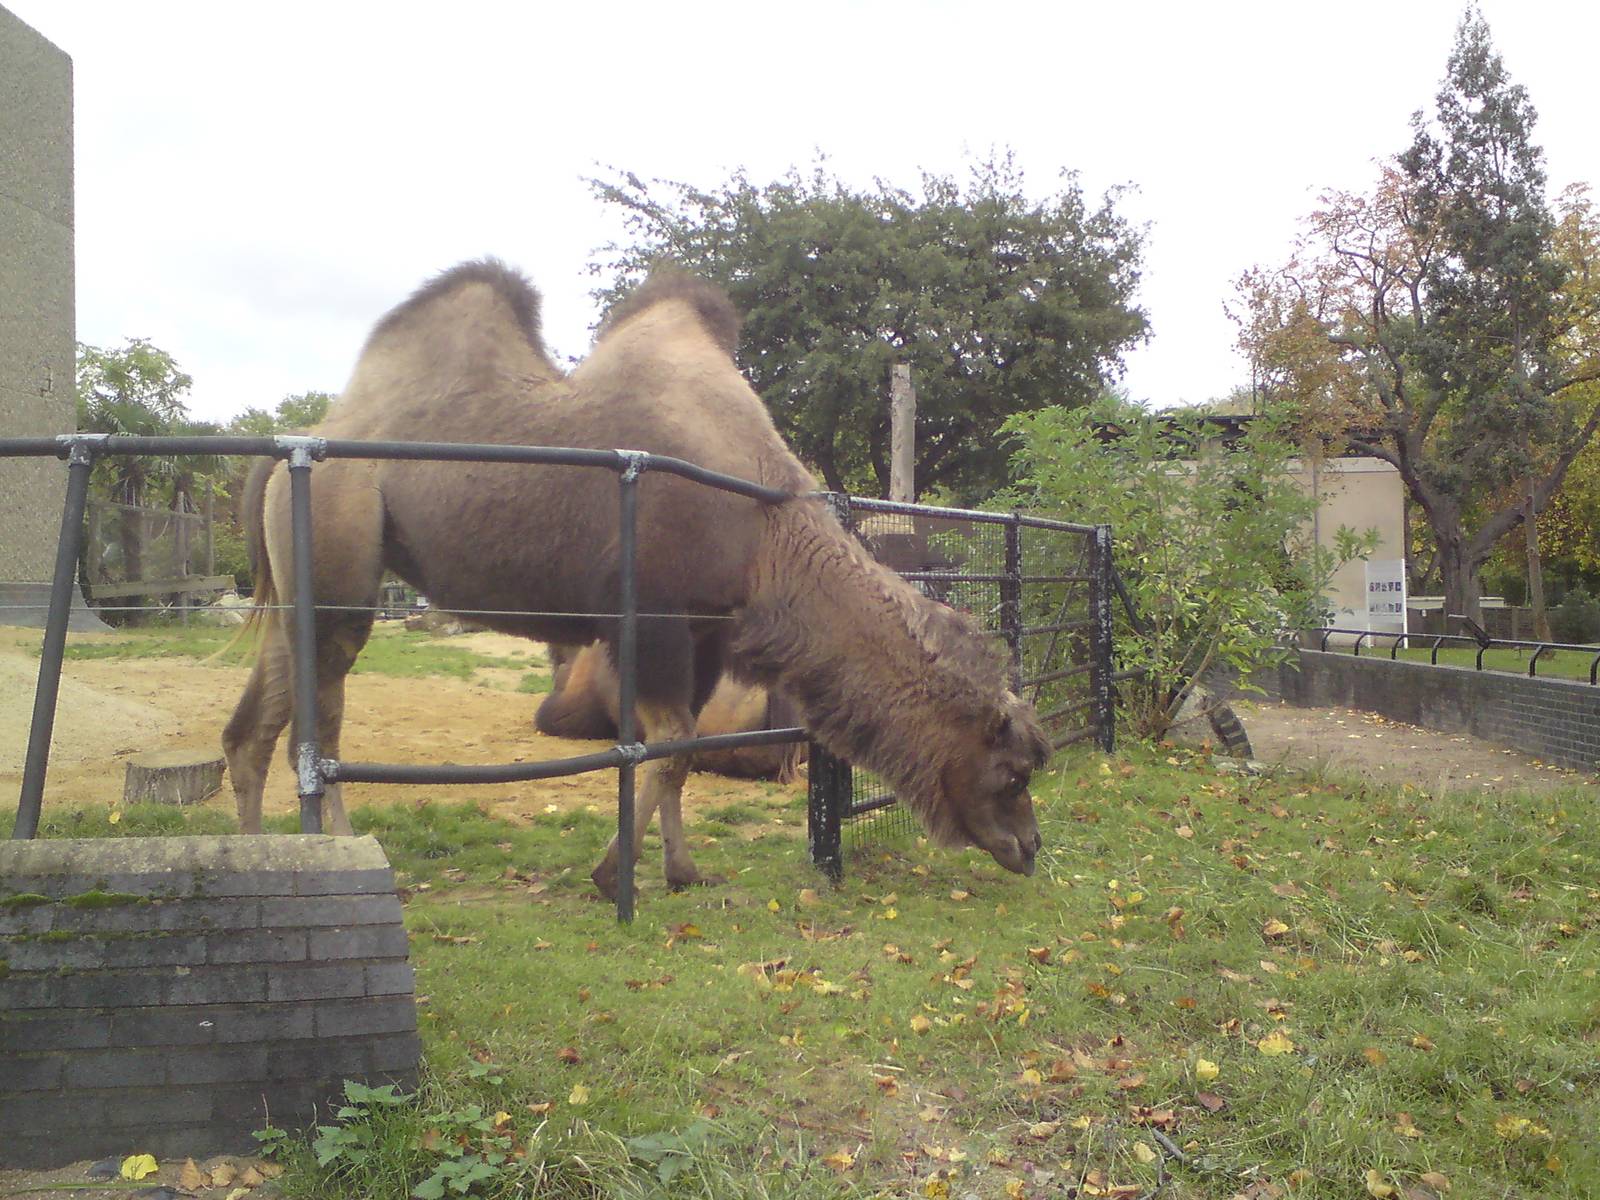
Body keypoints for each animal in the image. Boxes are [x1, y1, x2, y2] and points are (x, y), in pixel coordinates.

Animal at [223, 260, 1050, 895]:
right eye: (1012, 772)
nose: (1031, 847)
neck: (766, 530)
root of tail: (293, 449)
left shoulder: (706, 631)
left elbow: (674, 750)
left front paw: (682, 871)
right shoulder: (651, 619)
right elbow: (667, 741)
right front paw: (613, 874)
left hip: (300, 581)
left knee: (251, 729)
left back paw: (259, 861)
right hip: (342, 562)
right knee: (318, 729)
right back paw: (342, 854)